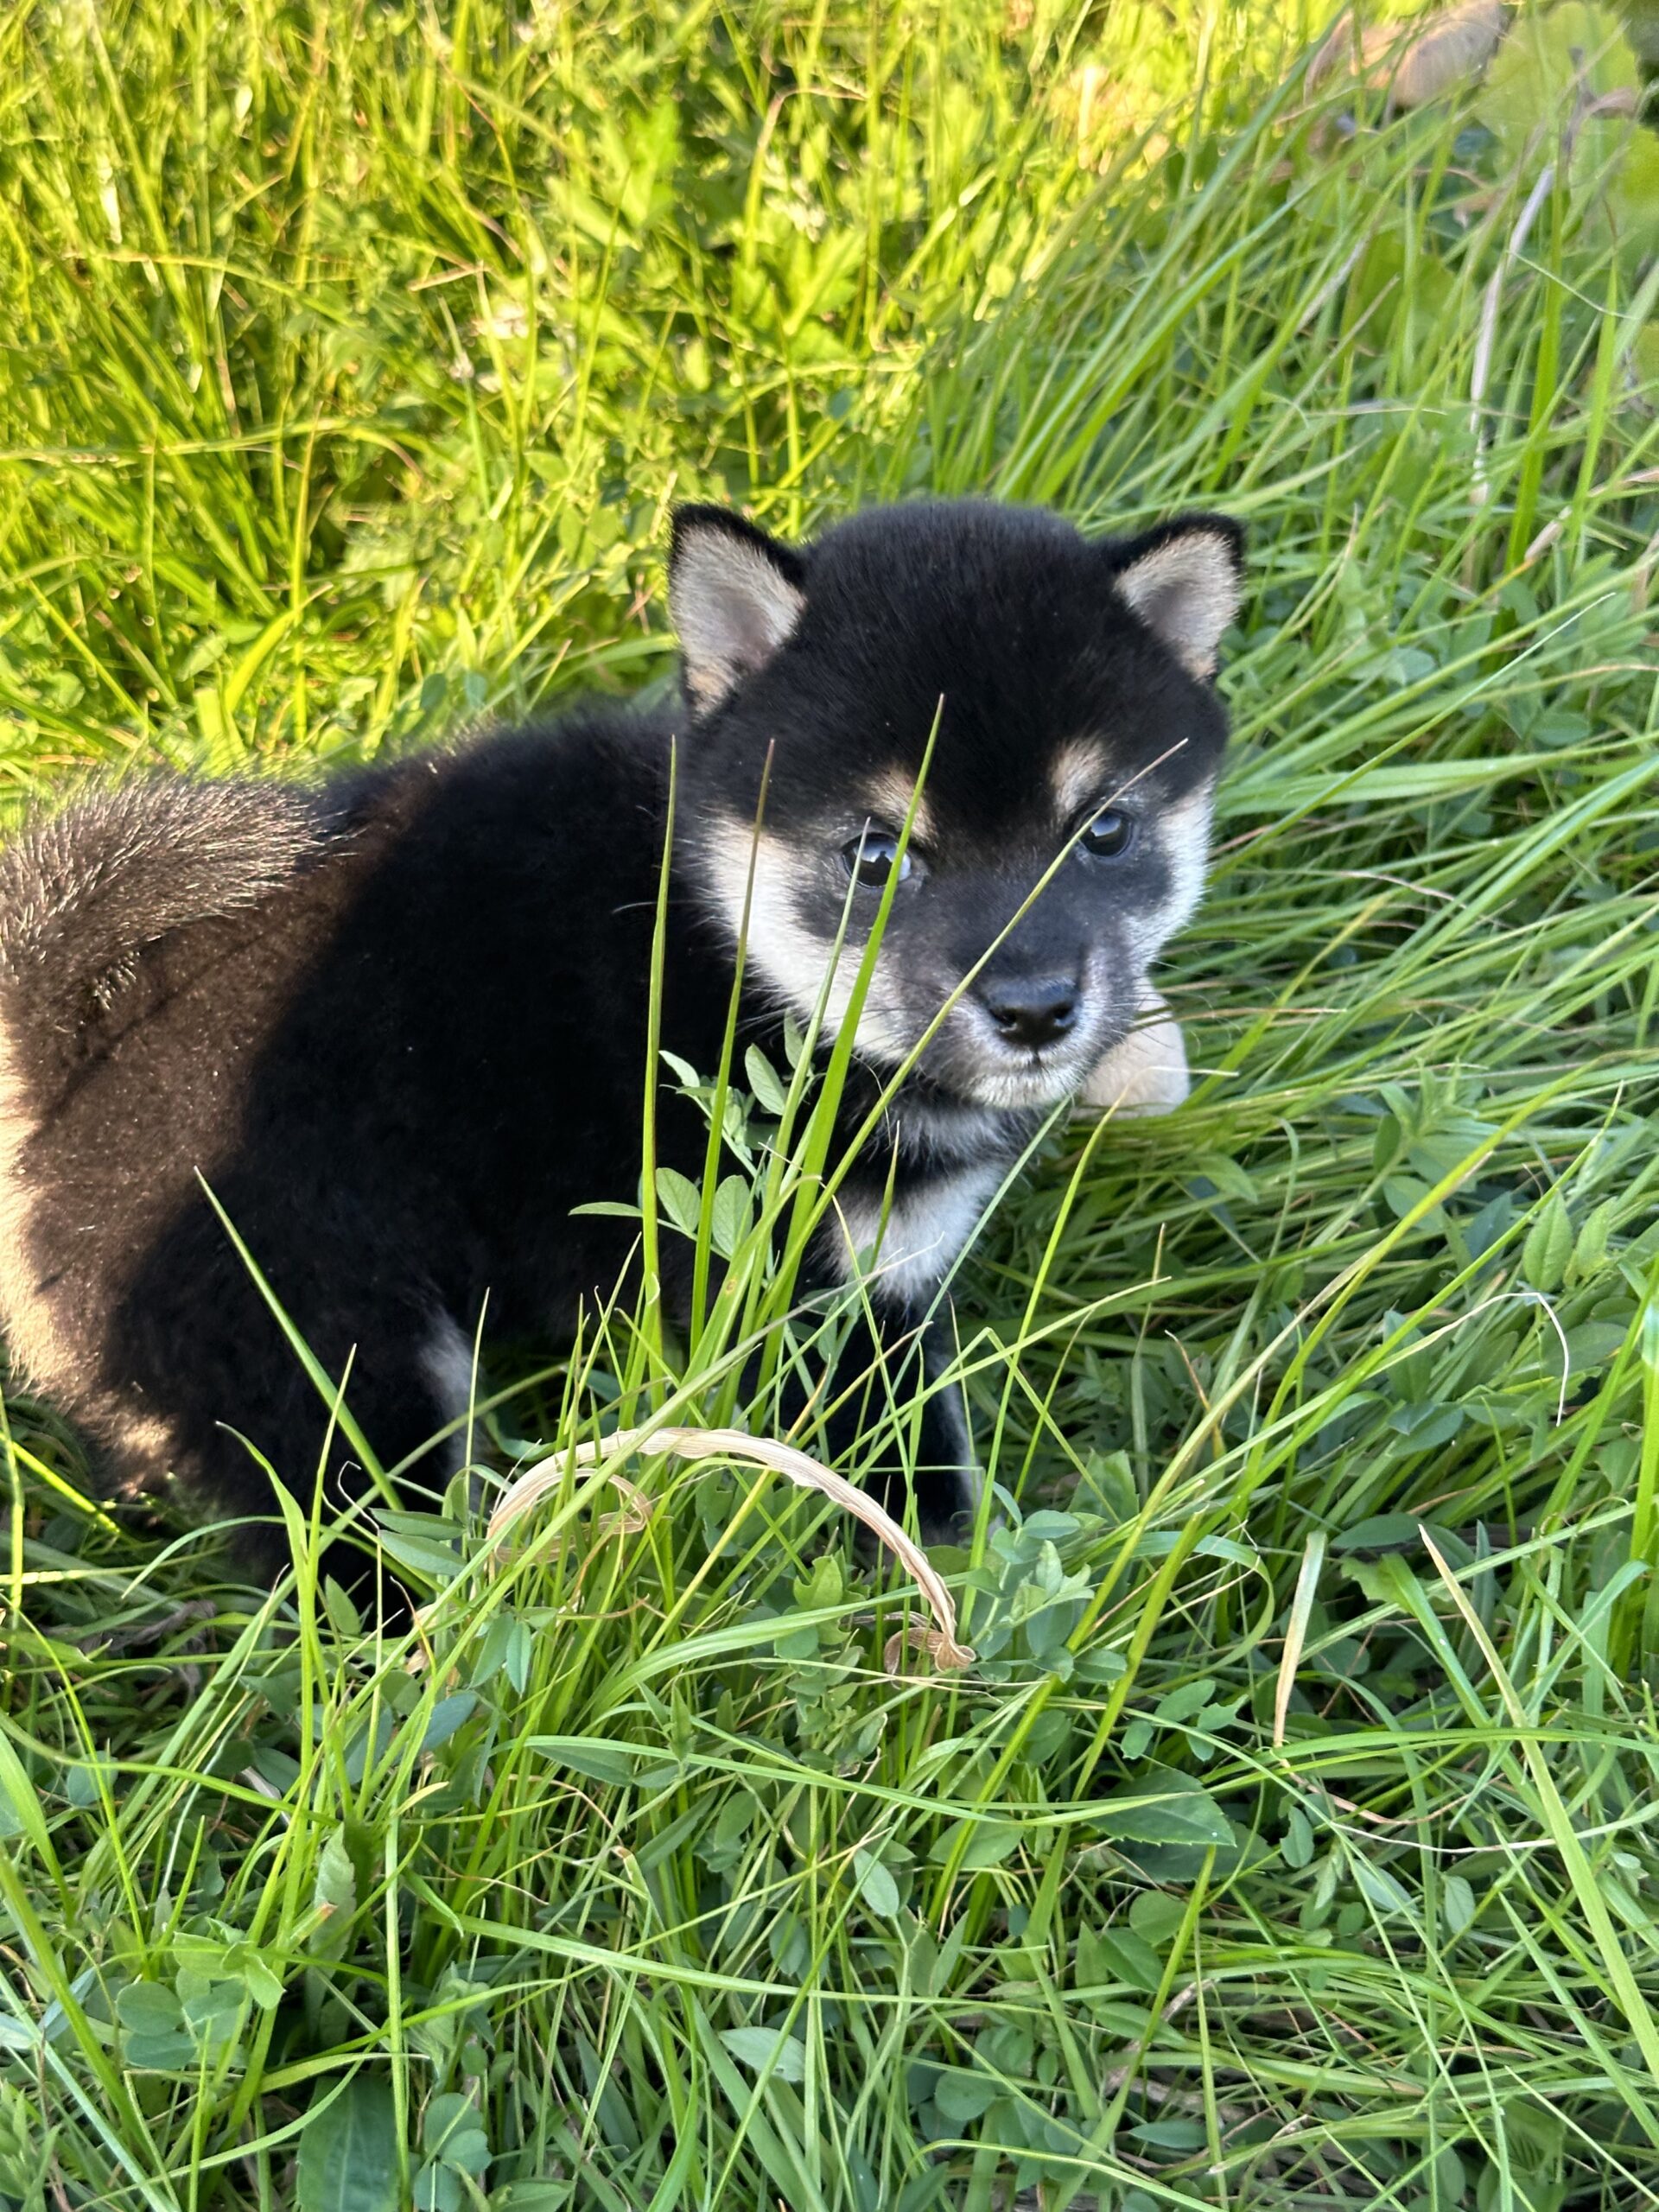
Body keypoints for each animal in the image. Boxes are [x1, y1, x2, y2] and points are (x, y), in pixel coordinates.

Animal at [0, 497, 1242, 1592]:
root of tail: (59, 1065)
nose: (1034, 1009)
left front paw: (1142, 1056)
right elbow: (908, 1479)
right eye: (877, 856)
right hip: (343, 1360)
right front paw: (949, 1597)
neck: (733, 950)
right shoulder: (810, 1294)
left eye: (1105, 830)